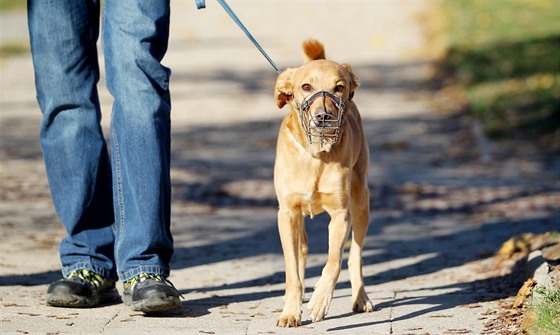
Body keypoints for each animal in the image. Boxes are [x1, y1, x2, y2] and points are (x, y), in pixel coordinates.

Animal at [274, 40, 374, 328]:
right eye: (306, 86)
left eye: (338, 87)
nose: (323, 117)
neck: (315, 156)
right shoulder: (287, 214)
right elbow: (292, 272)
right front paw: (291, 311)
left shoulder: (341, 214)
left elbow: (334, 261)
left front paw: (320, 300)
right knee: (301, 250)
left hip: (361, 203)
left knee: (354, 257)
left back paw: (360, 297)